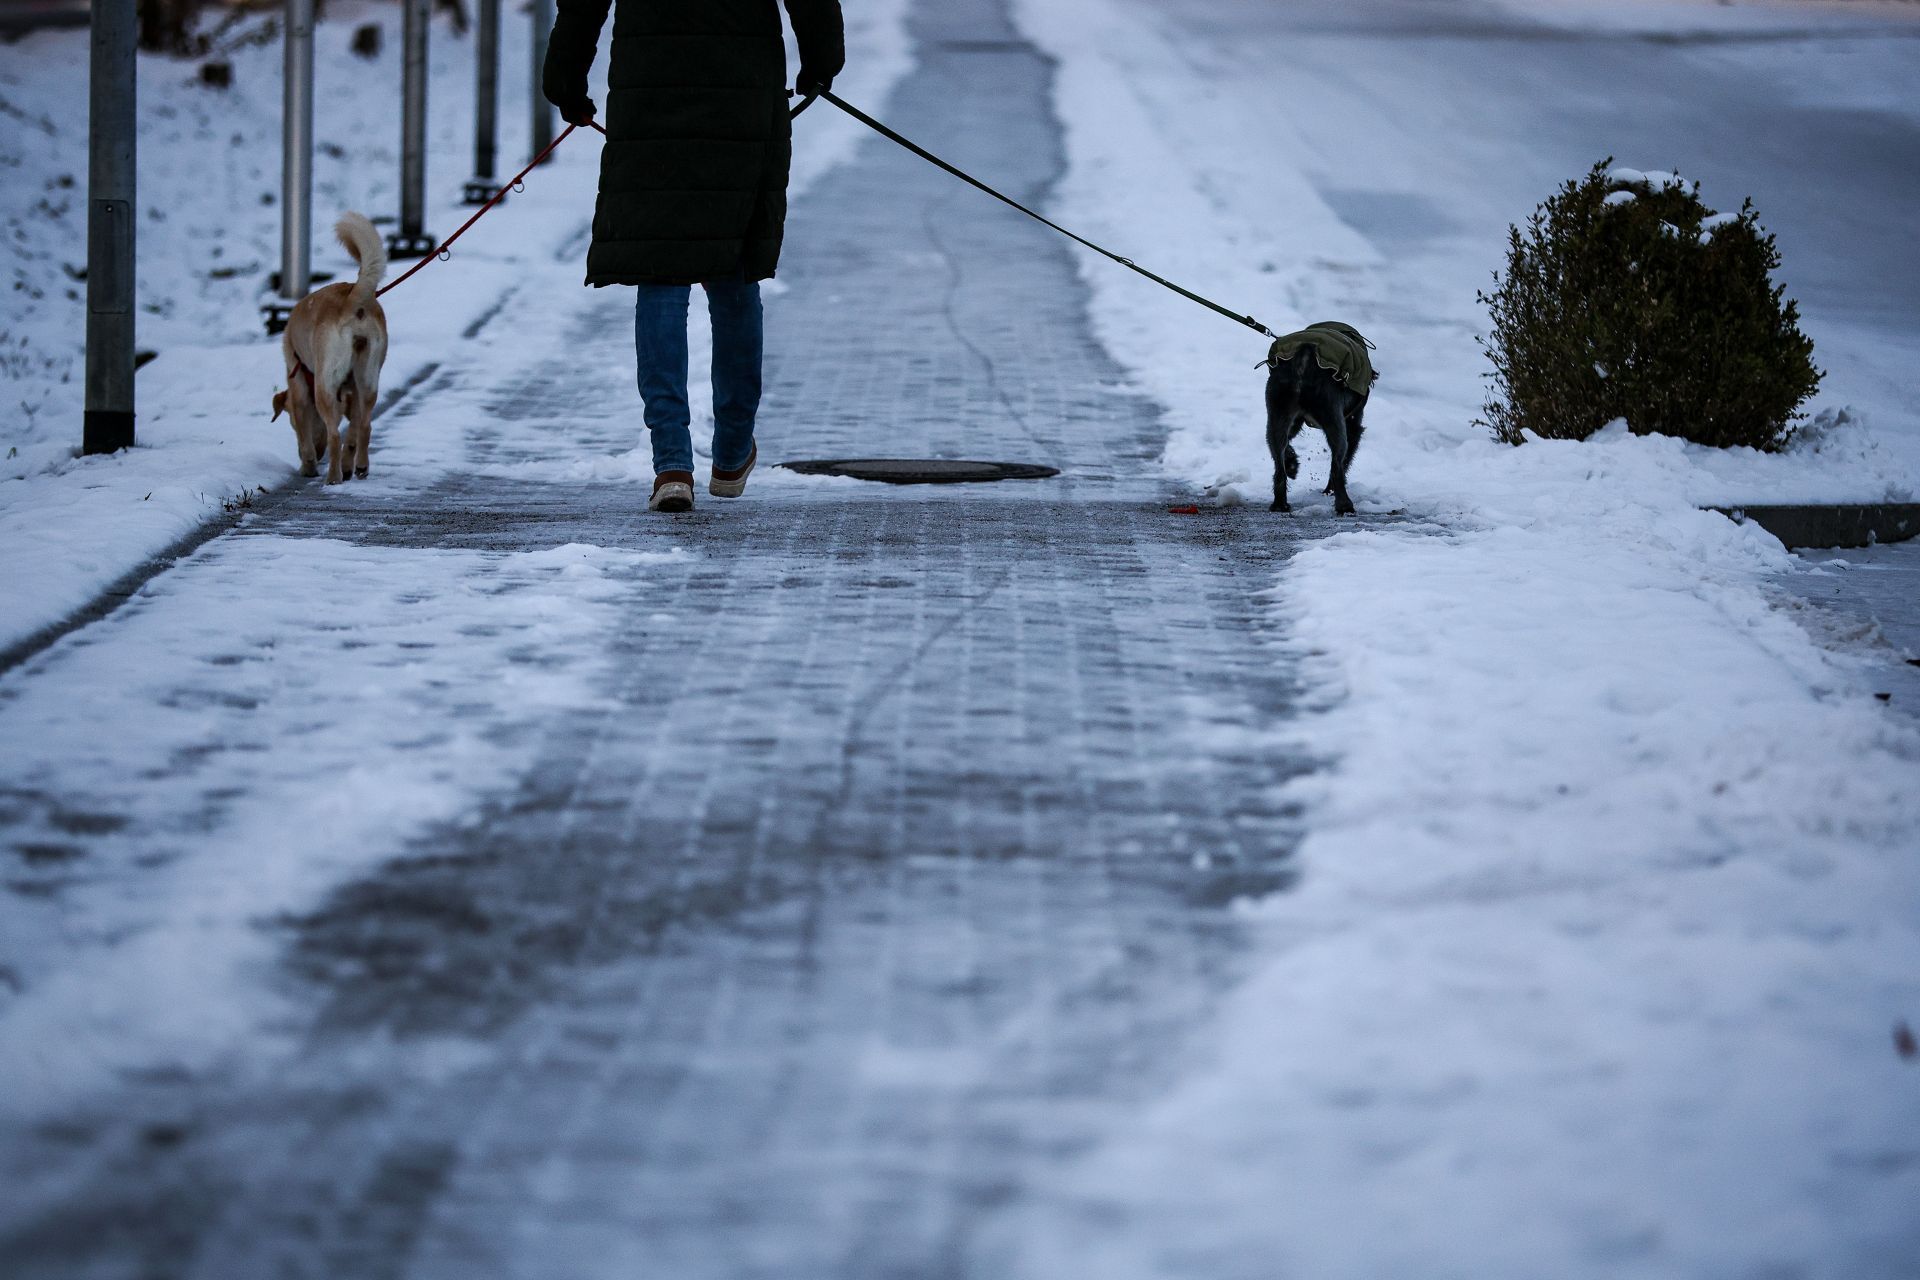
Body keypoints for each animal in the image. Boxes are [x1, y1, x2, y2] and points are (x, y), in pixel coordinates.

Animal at [272, 213, 387, 483]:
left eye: (291, 422)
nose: (317, 452)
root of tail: (352, 299)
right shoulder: (351, 393)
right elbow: (352, 433)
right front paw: (347, 465)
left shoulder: (300, 389)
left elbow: (307, 439)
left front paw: (308, 465)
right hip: (368, 378)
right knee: (364, 426)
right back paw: (359, 467)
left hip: (325, 385)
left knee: (335, 435)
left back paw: (333, 476)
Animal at [1267, 320, 1374, 514]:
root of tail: (1305, 356)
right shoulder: (1353, 426)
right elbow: (1344, 461)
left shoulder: (1295, 421)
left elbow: (1288, 446)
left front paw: (1292, 464)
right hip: (1336, 423)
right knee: (1337, 466)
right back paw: (1344, 505)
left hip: (1277, 417)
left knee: (1278, 464)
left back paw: (1280, 503)